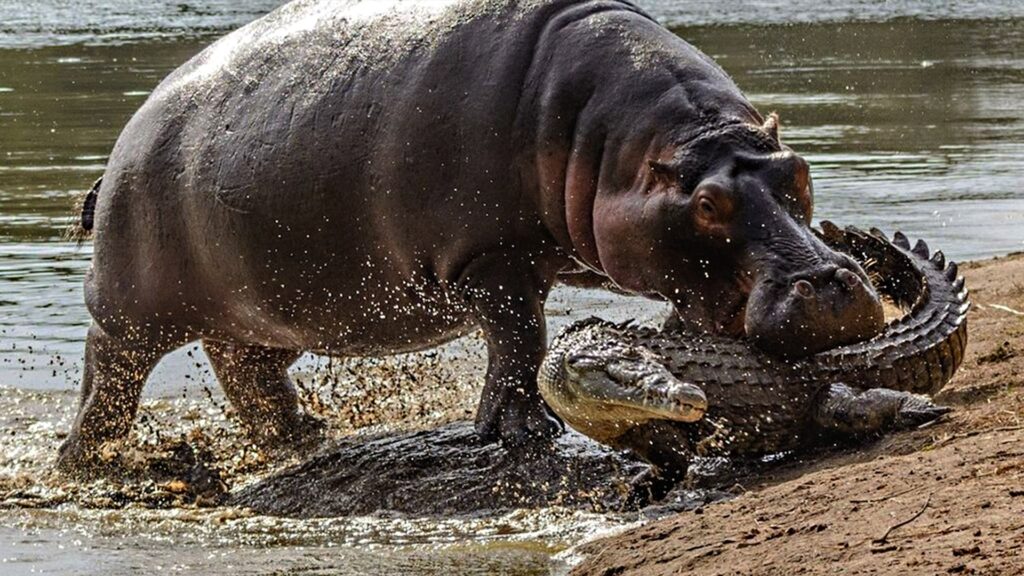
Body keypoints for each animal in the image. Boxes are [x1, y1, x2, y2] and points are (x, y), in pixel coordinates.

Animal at [58, 0, 883, 472]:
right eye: (709, 204)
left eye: (798, 170)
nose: (834, 284)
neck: (620, 145)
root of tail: (123, 143)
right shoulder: (491, 258)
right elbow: (520, 338)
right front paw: (522, 433)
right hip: (135, 307)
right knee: (110, 370)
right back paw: (91, 464)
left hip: (272, 309)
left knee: (246, 368)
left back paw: (303, 439)